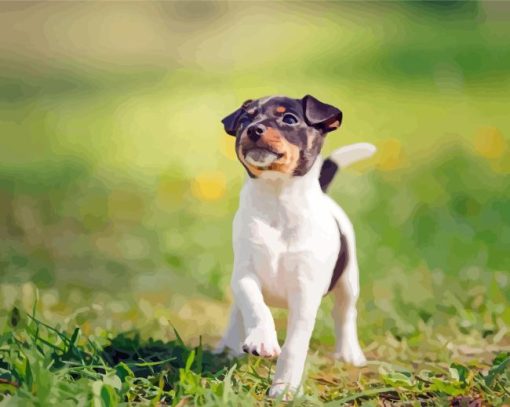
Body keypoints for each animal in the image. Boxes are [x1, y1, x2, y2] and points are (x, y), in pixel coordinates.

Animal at [214, 95, 374, 398]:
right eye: (245, 119)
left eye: (289, 119)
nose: (254, 129)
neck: (278, 200)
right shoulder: (244, 275)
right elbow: (255, 306)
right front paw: (262, 339)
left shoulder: (305, 292)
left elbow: (294, 346)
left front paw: (285, 387)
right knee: (237, 311)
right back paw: (229, 346)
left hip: (349, 281)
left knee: (345, 314)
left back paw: (350, 353)